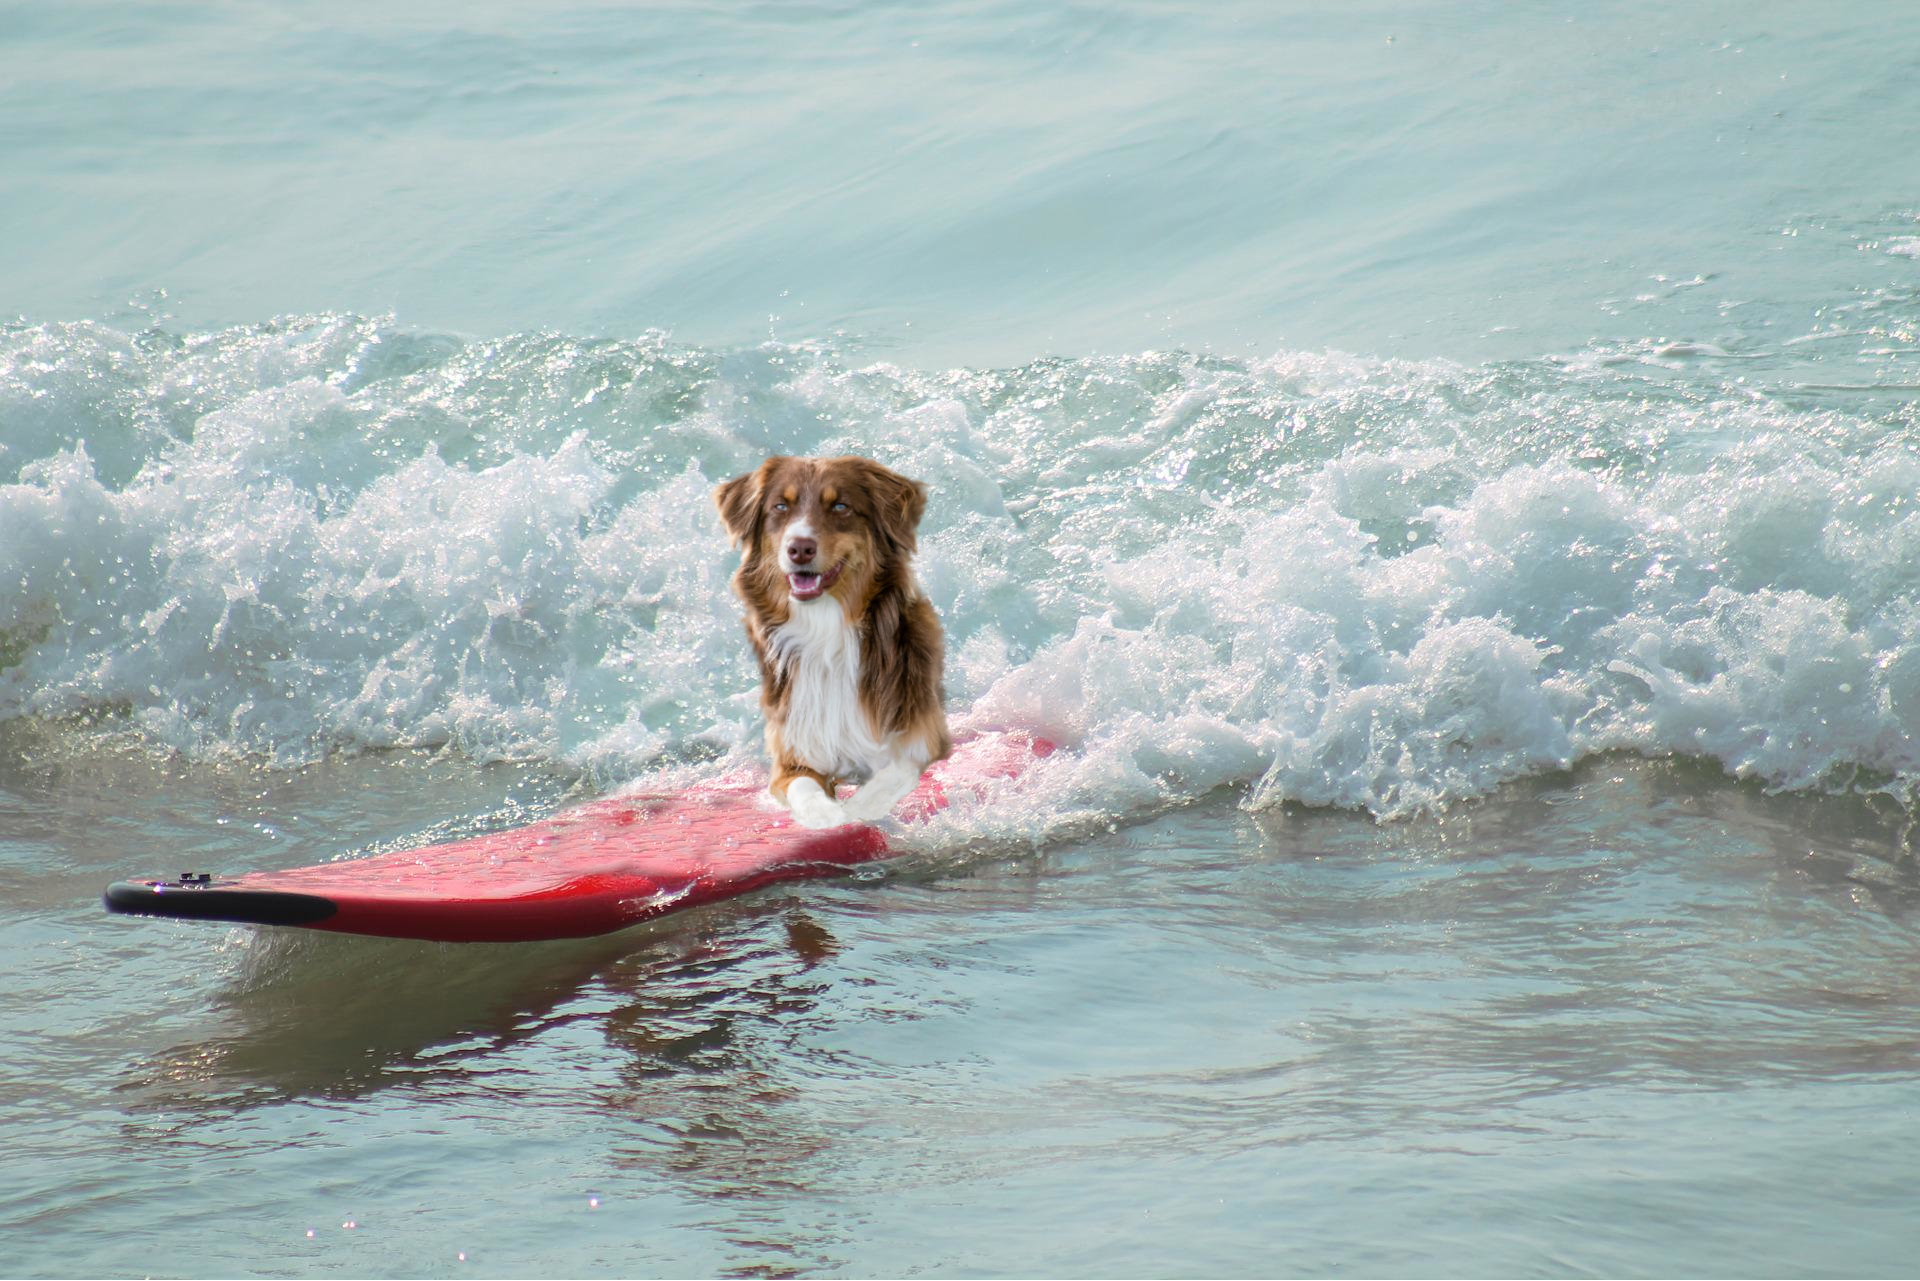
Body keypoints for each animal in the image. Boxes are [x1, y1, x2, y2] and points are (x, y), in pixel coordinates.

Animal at [714, 455, 952, 825]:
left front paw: (857, 809)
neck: (825, 631)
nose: (799, 548)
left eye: (840, 506)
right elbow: (803, 786)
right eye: (780, 506)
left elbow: (897, 770)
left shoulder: (924, 736)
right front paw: (825, 814)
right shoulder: (791, 756)